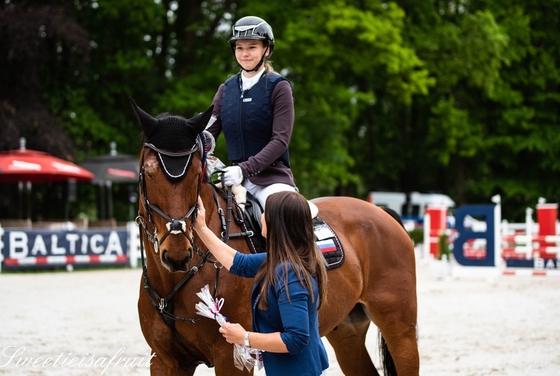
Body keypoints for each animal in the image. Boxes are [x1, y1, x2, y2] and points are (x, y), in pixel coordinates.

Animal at [131, 100, 418, 376]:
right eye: (149, 172)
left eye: (194, 174)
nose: (177, 253)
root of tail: (380, 212)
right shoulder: (165, 361)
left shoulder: (231, 358)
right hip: (347, 330)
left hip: (400, 329)